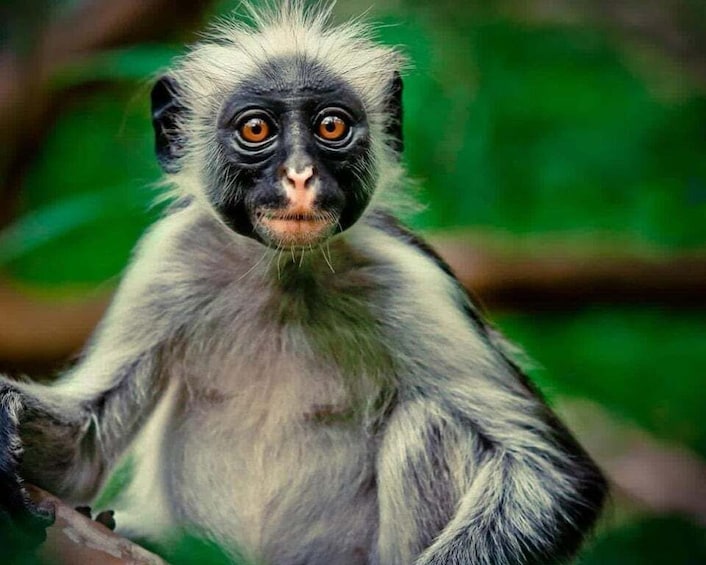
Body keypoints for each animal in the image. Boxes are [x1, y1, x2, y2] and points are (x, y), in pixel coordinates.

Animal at [0, 4, 607, 564]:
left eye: (331, 127)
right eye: (256, 129)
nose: (299, 176)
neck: (285, 276)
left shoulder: (409, 277)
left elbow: (554, 474)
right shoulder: (174, 261)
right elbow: (80, 455)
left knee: (433, 422)